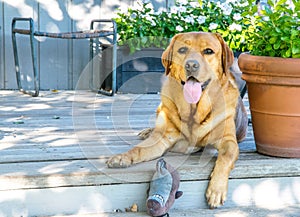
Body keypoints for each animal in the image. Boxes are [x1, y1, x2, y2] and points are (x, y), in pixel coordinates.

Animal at [106, 32, 247, 209]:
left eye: (208, 51)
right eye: (182, 50)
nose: (191, 65)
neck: (193, 111)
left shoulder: (228, 141)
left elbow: (226, 156)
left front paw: (217, 190)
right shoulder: (162, 138)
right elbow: (137, 150)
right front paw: (122, 157)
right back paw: (147, 131)